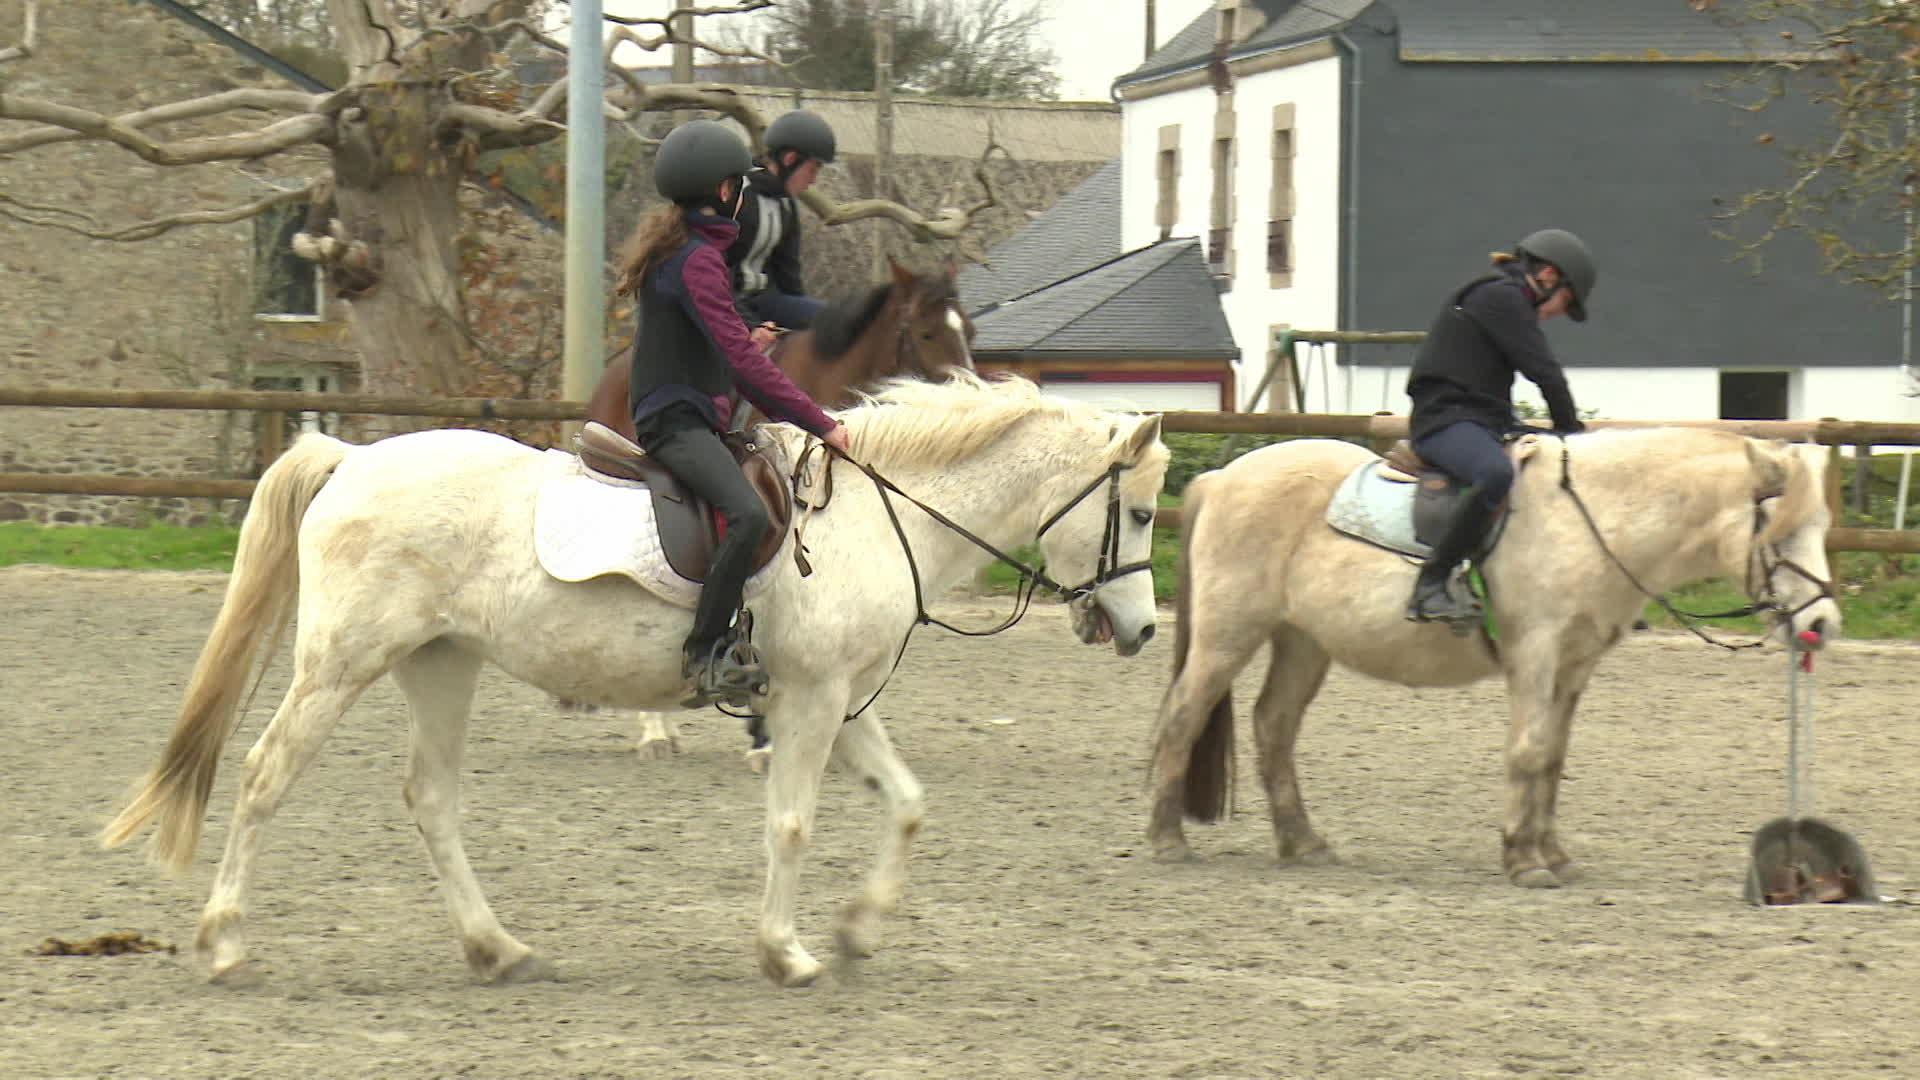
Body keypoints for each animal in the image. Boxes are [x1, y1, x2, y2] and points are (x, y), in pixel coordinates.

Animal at [105, 372, 1159, 983]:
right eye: (1144, 513)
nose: (1145, 631)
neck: (876, 514)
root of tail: (353, 456)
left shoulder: (837, 698)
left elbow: (905, 803)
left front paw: (859, 928)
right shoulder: (813, 701)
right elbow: (793, 823)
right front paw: (787, 953)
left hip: (441, 664)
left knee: (430, 797)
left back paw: (495, 947)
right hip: (341, 663)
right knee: (264, 776)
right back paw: (225, 940)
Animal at [1144, 426, 1835, 883]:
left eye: (1822, 527)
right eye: (1781, 531)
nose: (1822, 623)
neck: (1592, 520)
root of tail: (1223, 477)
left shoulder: (1575, 665)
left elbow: (1552, 757)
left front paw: (1550, 852)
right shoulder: (1535, 654)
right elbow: (1526, 751)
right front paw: (1522, 858)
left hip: (1303, 642)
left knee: (1274, 726)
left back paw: (1303, 842)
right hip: (1228, 634)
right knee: (1182, 715)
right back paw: (1167, 839)